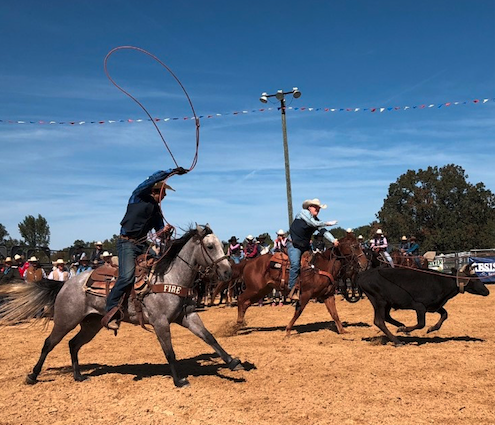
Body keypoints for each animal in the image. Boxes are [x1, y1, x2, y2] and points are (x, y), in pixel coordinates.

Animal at [0, 225, 244, 388]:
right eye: (210, 246)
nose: (227, 272)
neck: (169, 277)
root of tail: (66, 284)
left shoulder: (187, 316)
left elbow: (209, 337)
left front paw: (233, 363)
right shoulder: (160, 322)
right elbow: (169, 351)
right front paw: (179, 380)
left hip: (91, 324)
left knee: (73, 344)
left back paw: (78, 376)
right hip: (65, 320)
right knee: (49, 343)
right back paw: (32, 376)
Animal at [235, 232, 368, 334]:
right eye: (354, 246)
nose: (365, 263)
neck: (321, 267)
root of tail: (249, 262)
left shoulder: (328, 295)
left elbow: (334, 313)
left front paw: (342, 331)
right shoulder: (305, 294)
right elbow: (298, 311)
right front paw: (288, 330)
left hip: (262, 290)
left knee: (245, 303)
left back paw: (240, 323)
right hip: (254, 289)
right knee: (241, 299)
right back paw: (238, 324)